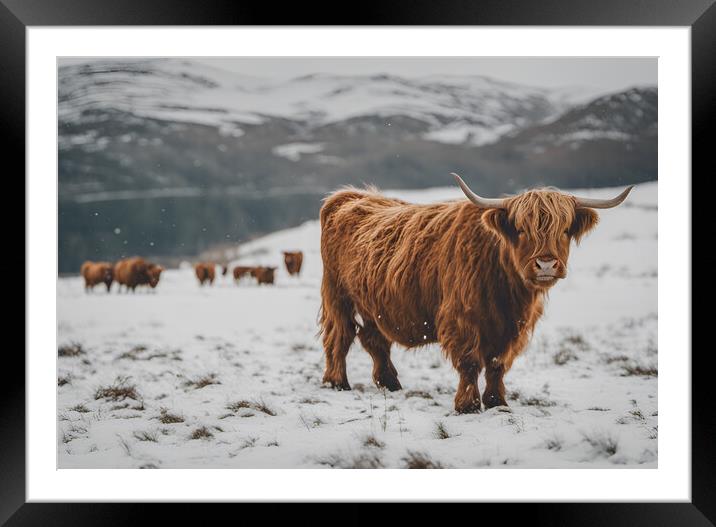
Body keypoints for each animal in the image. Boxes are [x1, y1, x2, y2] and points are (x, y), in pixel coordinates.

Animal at [318, 173, 632, 412]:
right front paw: (467, 405)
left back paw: (390, 384)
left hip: (373, 303)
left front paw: (497, 402)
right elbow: (469, 364)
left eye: (565, 229)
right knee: (340, 337)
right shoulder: (461, 320)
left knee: (374, 340)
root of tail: (350, 196)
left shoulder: (513, 329)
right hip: (338, 296)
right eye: (521, 229)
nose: (546, 264)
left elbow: (497, 365)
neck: (508, 293)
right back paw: (337, 382)